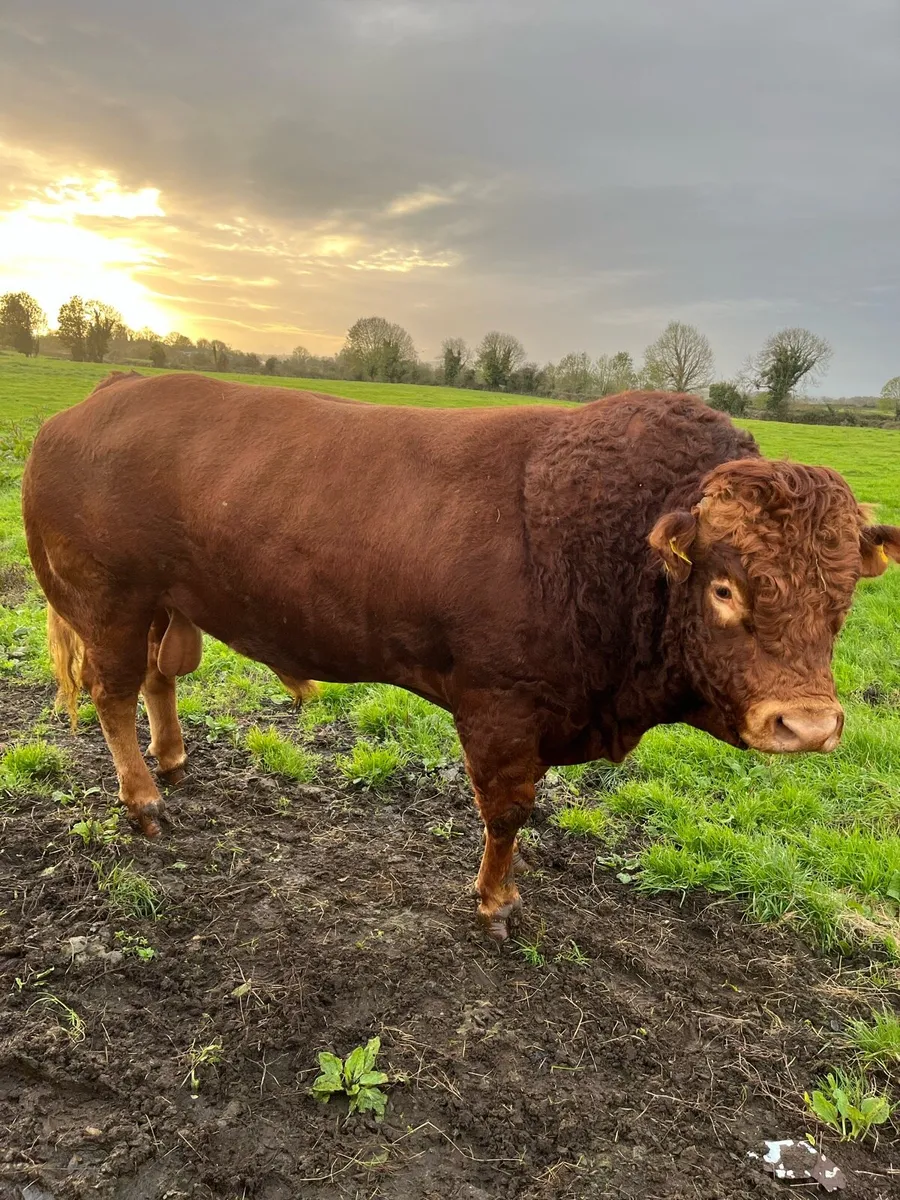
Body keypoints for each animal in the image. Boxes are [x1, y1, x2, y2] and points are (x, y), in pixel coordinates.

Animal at [21, 373, 900, 939]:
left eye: (843, 594)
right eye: (725, 588)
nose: (807, 725)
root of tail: (109, 392)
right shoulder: (501, 708)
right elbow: (507, 812)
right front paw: (497, 903)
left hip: (163, 602)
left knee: (161, 676)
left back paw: (172, 761)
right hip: (109, 602)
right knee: (112, 692)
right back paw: (144, 800)